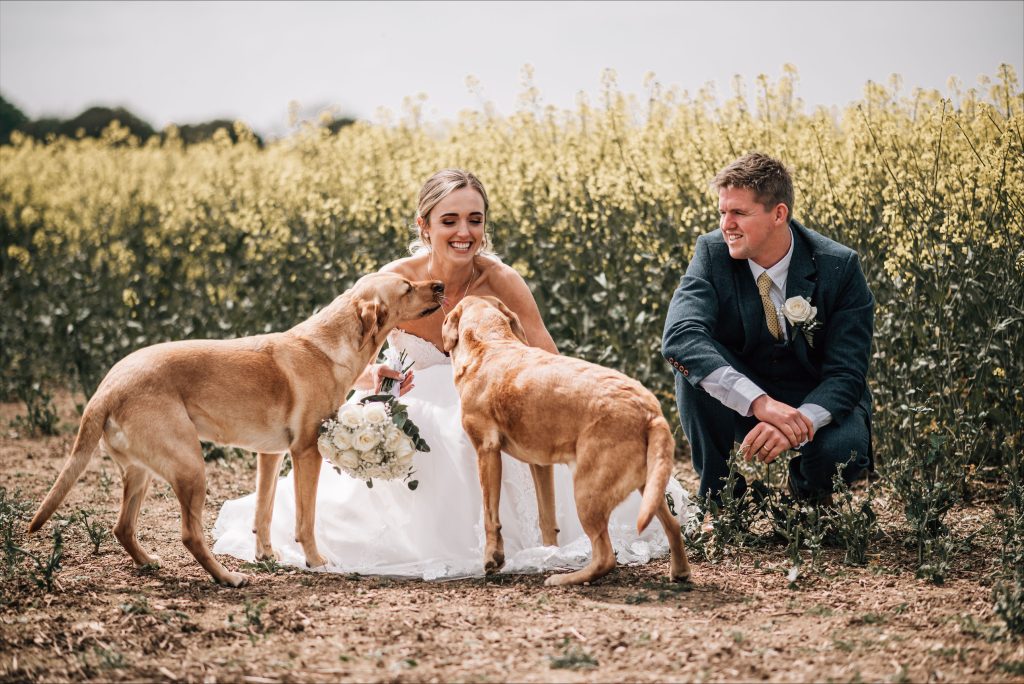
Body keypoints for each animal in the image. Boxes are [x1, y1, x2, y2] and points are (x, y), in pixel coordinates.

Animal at [28, 270, 442, 585]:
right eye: (407, 287)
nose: (439, 284)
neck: (330, 345)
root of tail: (107, 387)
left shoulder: (271, 455)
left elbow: (264, 511)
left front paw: (266, 555)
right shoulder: (306, 452)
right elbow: (305, 519)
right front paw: (315, 560)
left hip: (141, 473)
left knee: (122, 527)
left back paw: (148, 562)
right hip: (191, 467)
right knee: (189, 534)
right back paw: (226, 577)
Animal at [442, 296, 692, 585]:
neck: (492, 342)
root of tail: (650, 410)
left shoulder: (486, 450)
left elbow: (490, 515)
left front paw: (493, 557)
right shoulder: (540, 464)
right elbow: (546, 516)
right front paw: (549, 554)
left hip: (586, 492)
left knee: (606, 556)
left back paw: (564, 579)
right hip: (648, 487)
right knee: (672, 525)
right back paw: (680, 571)